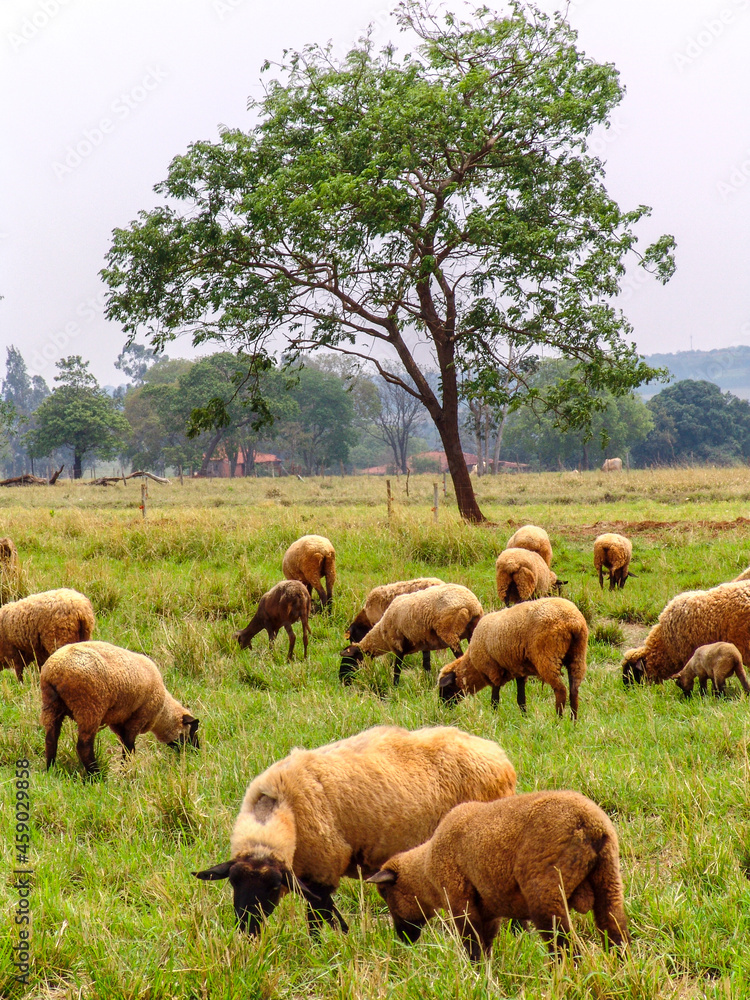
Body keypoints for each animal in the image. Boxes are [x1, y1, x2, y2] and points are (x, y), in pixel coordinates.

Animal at [40, 640, 199, 774]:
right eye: (192, 731)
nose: (196, 752)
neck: (162, 712)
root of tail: (55, 671)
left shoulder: (119, 722)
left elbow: (125, 745)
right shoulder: (137, 718)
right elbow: (129, 748)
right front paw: (126, 771)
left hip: (51, 705)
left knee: (51, 739)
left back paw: (51, 769)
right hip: (89, 708)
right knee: (83, 746)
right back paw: (96, 775)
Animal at [193, 724, 517, 937]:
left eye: (273, 886)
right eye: (233, 882)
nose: (247, 930)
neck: (280, 807)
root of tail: (499, 756)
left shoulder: (322, 868)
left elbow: (317, 917)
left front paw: (323, 946)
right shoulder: (308, 873)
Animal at [339, 584, 483, 687]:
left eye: (349, 660)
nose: (342, 680)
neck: (380, 634)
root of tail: (472, 605)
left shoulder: (398, 646)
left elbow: (397, 669)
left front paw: (395, 688)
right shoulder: (425, 643)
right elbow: (426, 665)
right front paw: (427, 682)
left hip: (450, 633)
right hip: (472, 632)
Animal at [367, 790, 629, 961]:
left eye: (386, 894)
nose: (403, 939)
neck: (426, 870)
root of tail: (591, 825)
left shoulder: (460, 901)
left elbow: (472, 945)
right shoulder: (488, 910)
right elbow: (486, 947)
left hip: (546, 891)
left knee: (566, 947)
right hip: (608, 880)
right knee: (615, 931)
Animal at [437, 598, 588, 719]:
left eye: (446, 688)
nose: (442, 708)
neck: (472, 664)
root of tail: (572, 622)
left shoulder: (493, 669)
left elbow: (495, 699)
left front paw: (494, 717)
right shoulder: (519, 670)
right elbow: (521, 699)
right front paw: (524, 717)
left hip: (547, 657)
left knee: (561, 690)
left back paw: (558, 720)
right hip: (578, 655)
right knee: (574, 690)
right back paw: (573, 721)